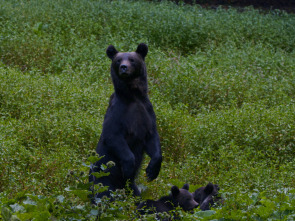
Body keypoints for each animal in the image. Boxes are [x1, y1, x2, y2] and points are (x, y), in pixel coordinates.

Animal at [89, 43, 164, 199]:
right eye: (118, 60)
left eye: (132, 59)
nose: (124, 67)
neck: (133, 96)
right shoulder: (118, 112)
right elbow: (113, 136)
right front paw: (129, 166)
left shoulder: (147, 112)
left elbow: (153, 138)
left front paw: (152, 171)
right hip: (102, 180)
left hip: (132, 189)